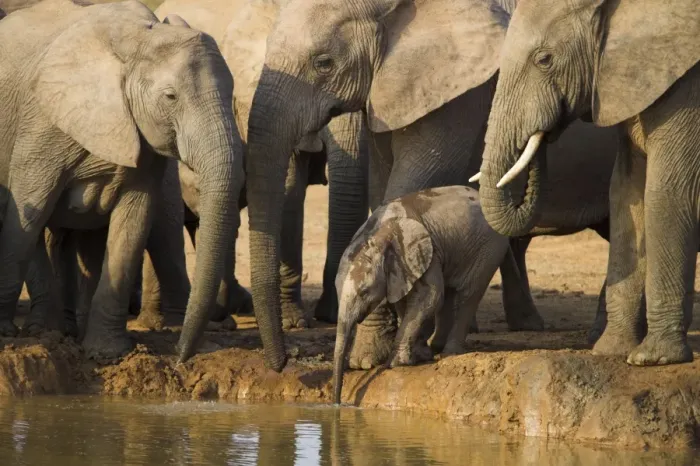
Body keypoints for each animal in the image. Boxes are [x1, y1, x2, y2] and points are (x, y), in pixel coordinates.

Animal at [0, 0, 244, 362]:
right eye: (170, 97)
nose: (180, 355)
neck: (137, 40)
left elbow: (133, 222)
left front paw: (107, 353)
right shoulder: (43, 125)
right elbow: (29, 216)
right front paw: (7, 334)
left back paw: (68, 331)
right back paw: (45, 331)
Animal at [243, 0, 618, 371]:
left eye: (323, 63)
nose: (284, 363)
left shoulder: (456, 93)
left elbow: (413, 180)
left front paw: (369, 359)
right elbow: (381, 187)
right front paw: (383, 351)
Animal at [333, 186, 511, 403]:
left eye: (364, 292)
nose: (337, 403)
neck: (379, 234)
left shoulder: (424, 252)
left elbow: (430, 296)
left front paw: (396, 363)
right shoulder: (404, 266)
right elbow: (406, 301)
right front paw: (419, 356)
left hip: (489, 248)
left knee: (468, 294)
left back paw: (449, 352)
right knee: (450, 293)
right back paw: (436, 348)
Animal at [474, 0, 700, 366]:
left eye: (544, 59)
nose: (543, 134)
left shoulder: (688, 89)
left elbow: (666, 192)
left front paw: (651, 359)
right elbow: (626, 193)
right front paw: (610, 350)